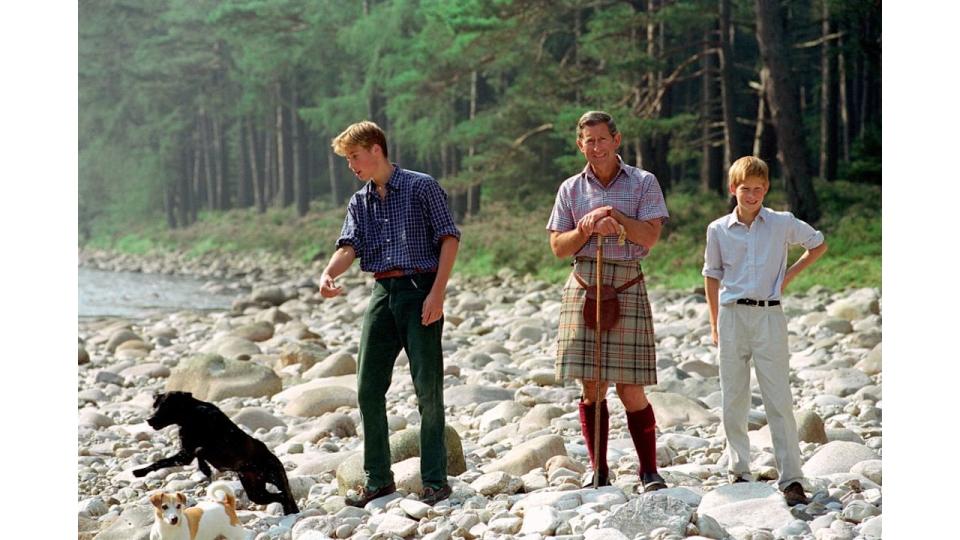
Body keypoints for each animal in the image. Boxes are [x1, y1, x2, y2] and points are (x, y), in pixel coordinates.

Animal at [133, 390, 300, 512]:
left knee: (285, 494)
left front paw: (205, 468)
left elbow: (200, 450)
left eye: (166, 406)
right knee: (279, 497)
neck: (192, 416)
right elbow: (160, 462)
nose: (149, 419)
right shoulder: (185, 454)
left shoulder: (206, 450)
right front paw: (140, 472)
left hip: (276, 477)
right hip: (256, 492)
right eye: (155, 406)